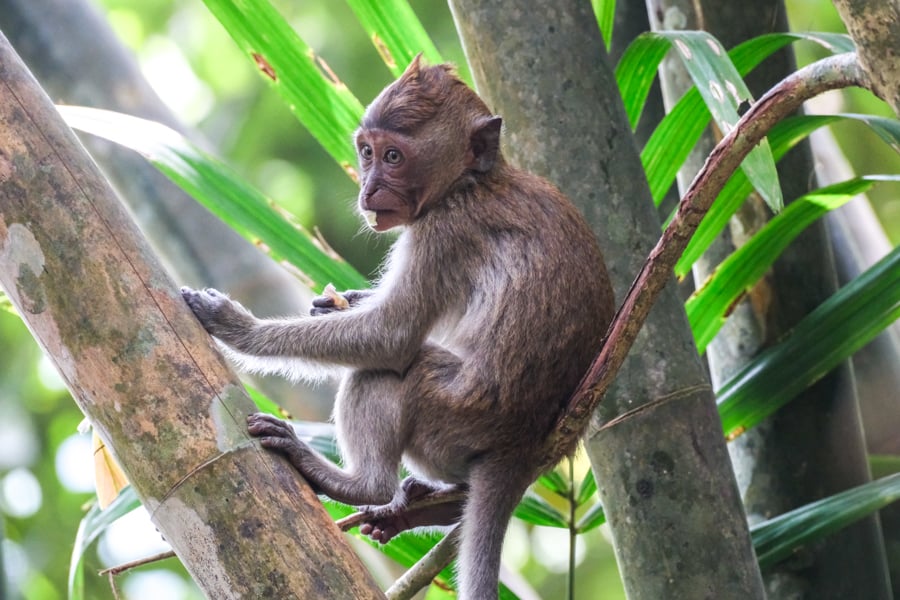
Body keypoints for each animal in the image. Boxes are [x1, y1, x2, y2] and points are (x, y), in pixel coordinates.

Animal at [183, 57, 620, 600]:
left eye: (394, 156)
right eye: (367, 152)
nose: (368, 188)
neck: (471, 182)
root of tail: (521, 446)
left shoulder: (443, 232)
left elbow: (390, 338)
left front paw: (238, 327)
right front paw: (339, 303)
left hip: (453, 415)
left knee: (393, 370)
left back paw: (359, 484)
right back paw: (441, 505)